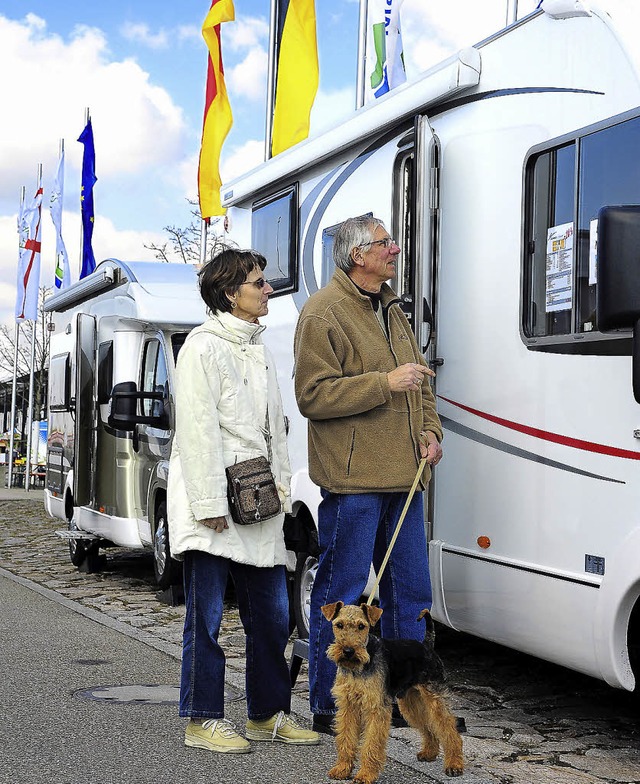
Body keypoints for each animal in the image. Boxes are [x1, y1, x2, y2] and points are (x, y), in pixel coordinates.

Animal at [322, 604, 462, 780]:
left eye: (361, 626)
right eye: (339, 625)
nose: (348, 651)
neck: (357, 669)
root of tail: (427, 645)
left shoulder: (376, 708)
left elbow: (371, 744)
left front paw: (365, 774)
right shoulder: (348, 706)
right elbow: (346, 738)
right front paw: (342, 769)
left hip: (434, 698)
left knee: (449, 728)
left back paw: (454, 765)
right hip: (410, 703)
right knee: (428, 726)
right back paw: (429, 753)